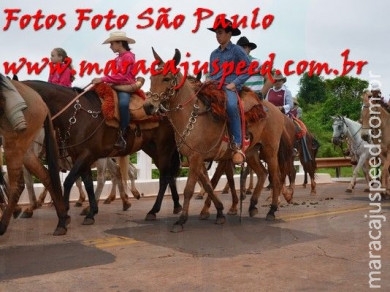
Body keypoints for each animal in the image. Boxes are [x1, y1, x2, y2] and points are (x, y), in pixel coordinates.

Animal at [23, 78, 182, 225]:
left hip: (163, 149)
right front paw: (91, 211)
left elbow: (67, 181)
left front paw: (64, 208)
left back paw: (152, 210)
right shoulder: (77, 157)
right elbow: (85, 182)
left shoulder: (86, 155)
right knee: (166, 176)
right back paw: (175, 205)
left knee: (162, 178)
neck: (76, 115)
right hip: (152, 149)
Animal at [144, 48, 290, 233]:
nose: (148, 106)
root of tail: (276, 111)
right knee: (263, 174)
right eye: (151, 78)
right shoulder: (197, 159)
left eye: (166, 78)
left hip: (270, 151)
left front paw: (181, 220)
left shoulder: (197, 158)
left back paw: (271, 210)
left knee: (276, 178)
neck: (193, 116)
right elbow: (207, 185)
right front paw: (219, 212)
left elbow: (191, 188)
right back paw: (252, 206)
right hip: (251, 152)